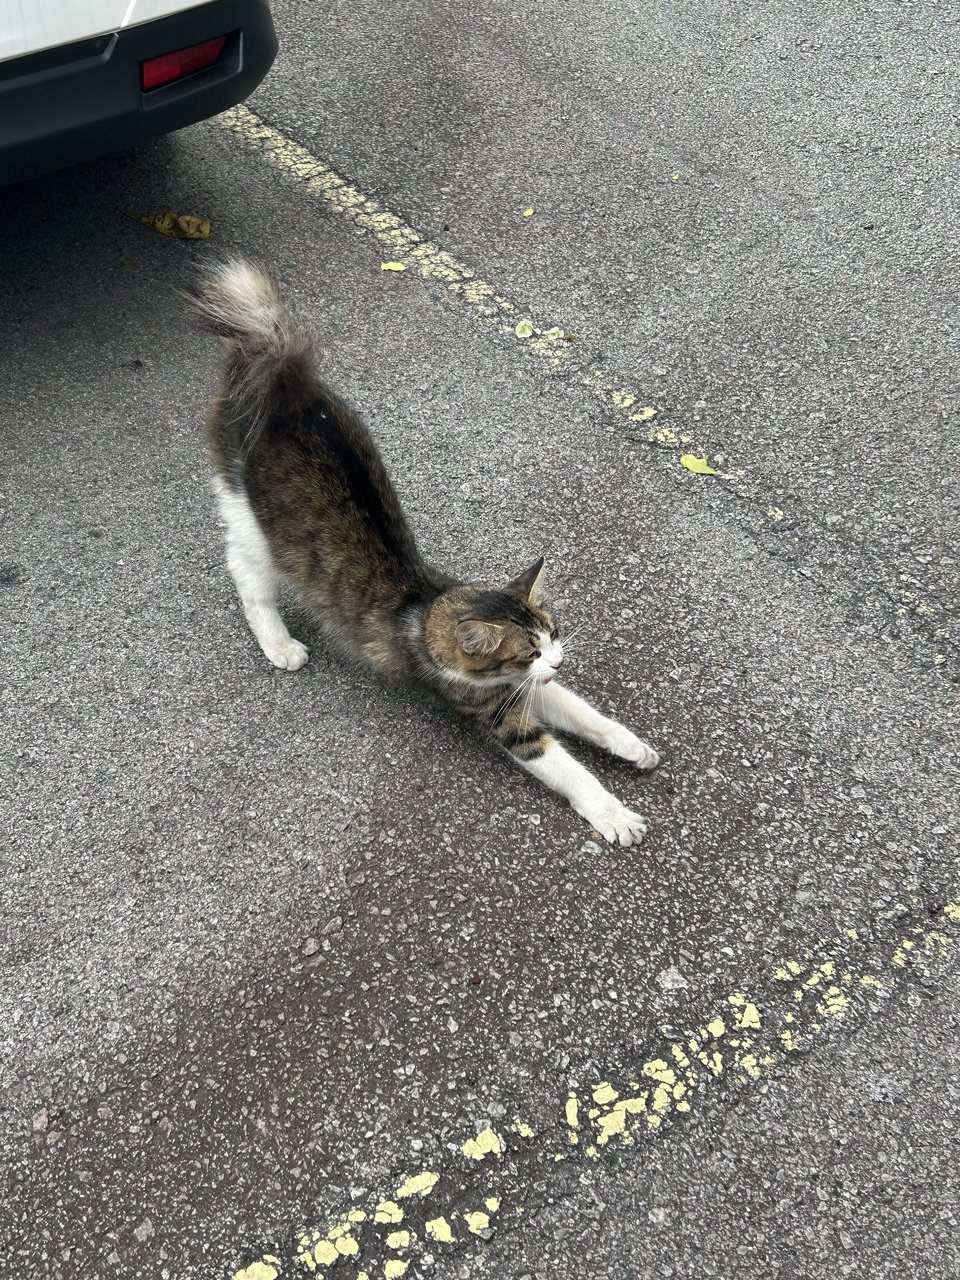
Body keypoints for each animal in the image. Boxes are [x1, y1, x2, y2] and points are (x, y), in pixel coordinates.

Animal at [192, 254, 665, 844]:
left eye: (552, 636)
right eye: (529, 651)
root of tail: (279, 376)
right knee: (247, 577)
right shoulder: (500, 711)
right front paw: (613, 813)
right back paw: (279, 644)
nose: (558, 659)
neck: (428, 607)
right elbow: (566, 768)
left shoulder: (528, 688)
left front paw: (629, 744)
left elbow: (584, 713)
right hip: (250, 518)